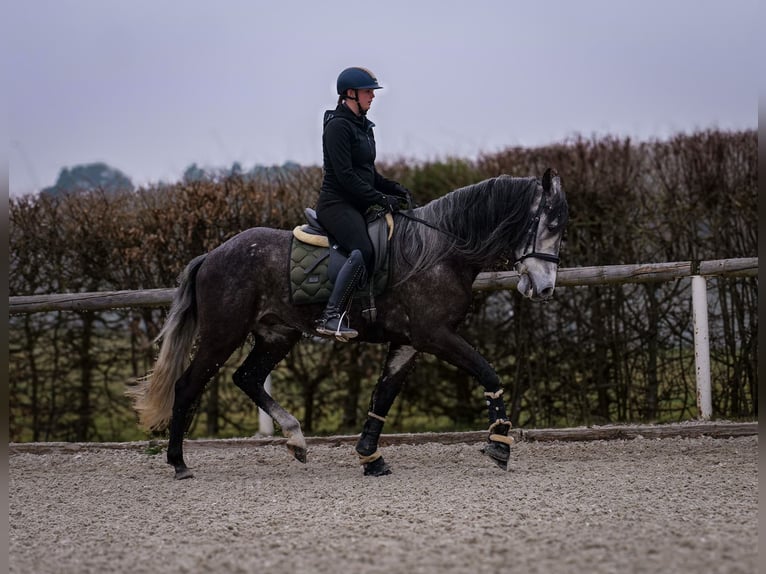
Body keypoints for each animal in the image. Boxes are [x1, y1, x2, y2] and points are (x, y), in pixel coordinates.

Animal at [127, 169, 568, 480]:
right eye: (551, 226)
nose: (544, 289)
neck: (439, 250)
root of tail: (213, 255)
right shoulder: (436, 336)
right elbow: (487, 372)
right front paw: (500, 444)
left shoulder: (409, 341)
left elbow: (383, 396)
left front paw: (370, 457)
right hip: (223, 335)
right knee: (188, 386)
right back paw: (179, 463)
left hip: (277, 334)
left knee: (247, 378)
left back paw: (296, 439)